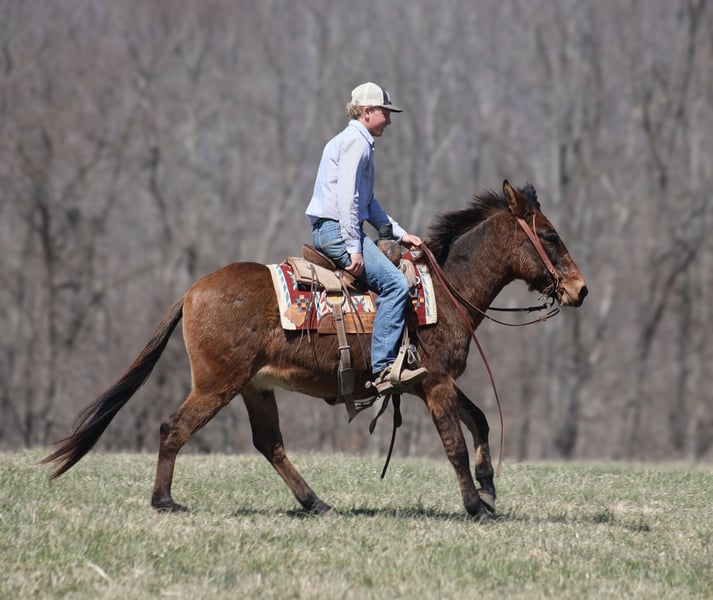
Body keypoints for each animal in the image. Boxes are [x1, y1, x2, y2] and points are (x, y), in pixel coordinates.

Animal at [42, 180, 587, 518]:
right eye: (548, 235)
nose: (580, 290)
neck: (444, 290)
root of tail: (192, 291)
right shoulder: (435, 384)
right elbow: (453, 441)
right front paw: (476, 507)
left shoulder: (427, 382)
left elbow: (480, 420)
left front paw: (489, 485)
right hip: (217, 385)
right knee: (173, 428)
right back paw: (165, 501)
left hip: (255, 388)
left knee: (270, 444)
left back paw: (315, 503)